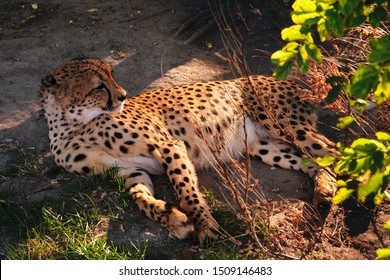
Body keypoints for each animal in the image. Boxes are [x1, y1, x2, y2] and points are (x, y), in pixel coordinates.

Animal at [41, 57, 336, 243]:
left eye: (111, 76)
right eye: (98, 86)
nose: (123, 95)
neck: (72, 126)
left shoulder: (167, 145)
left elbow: (185, 190)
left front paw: (203, 224)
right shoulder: (127, 170)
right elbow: (140, 198)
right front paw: (172, 218)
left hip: (284, 125)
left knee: (333, 151)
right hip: (261, 145)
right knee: (316, 163)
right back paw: (324, 192)